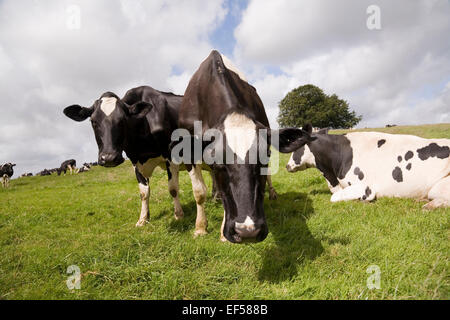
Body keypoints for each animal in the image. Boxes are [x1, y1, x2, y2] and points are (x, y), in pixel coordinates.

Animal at [172, 52, 312, 242]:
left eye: (264, 159)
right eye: (219, 164)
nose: (248, 232)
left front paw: (223, 234)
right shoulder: (189, 151)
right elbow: (199, 192)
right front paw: (200, 228)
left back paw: (272, 194)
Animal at [286, 124, 450, 209]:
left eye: (295, 145)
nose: (287, 166)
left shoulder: (365, 186)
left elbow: (334, 197)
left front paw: (362, 200)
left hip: (439, 187)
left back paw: (429, 205)